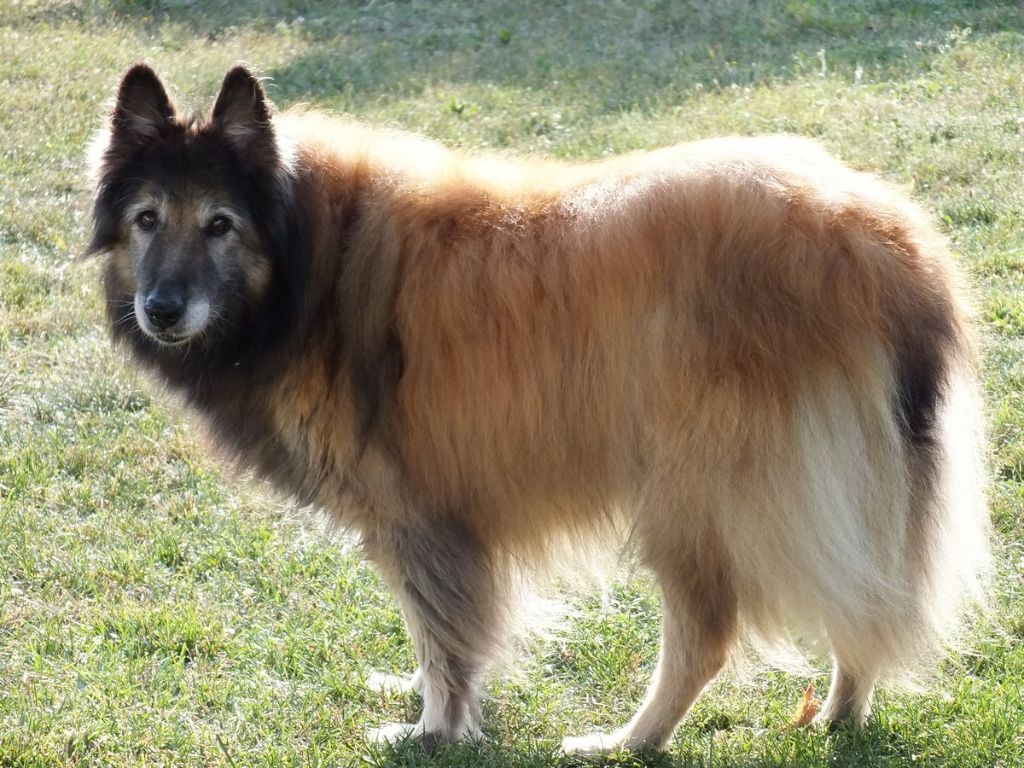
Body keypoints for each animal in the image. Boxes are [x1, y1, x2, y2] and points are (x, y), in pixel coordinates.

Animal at [90, 63, 991, 753]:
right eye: (147, 219)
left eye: (220, 224)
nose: (161, 311)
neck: (313, 257)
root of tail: (891, 246)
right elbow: (434, 633)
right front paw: (414, 693)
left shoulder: (420, 516)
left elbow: (444, 637)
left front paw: (431, 730)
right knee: (864, 604)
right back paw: (841, 713)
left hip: (696, 498)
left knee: (707, 637)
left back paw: (627, 741)